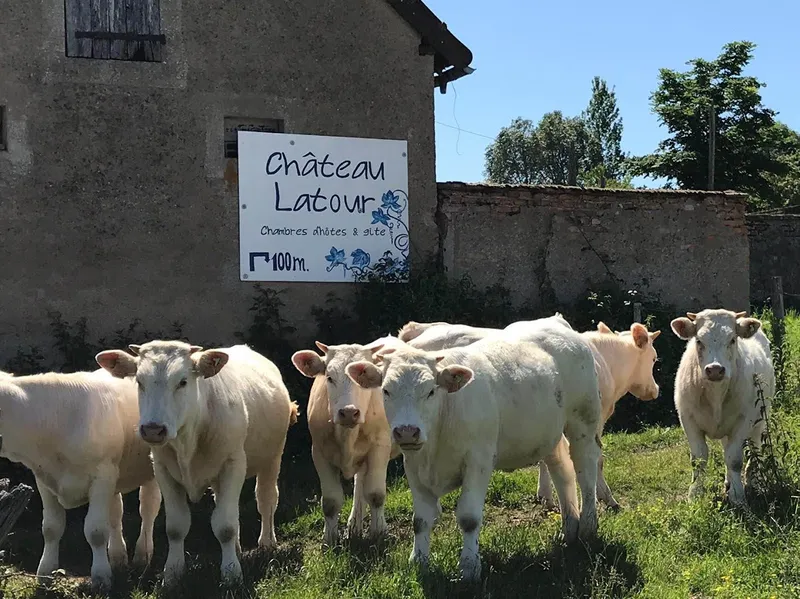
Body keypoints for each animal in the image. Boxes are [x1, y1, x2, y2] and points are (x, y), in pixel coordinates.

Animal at [0, 370, 161, 592]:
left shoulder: (102, 476)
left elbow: (96, 531)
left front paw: (101, 578)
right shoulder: (43, 480)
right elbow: (51, 528)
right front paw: (45, 574)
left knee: (148, 509)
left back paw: (142, 557)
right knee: (115, 513)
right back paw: (118, 559)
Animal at [97, 342, 296, 584]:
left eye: (182, 381)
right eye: (140, 382)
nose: (153, 429)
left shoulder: (233, 464)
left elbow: (225, 526)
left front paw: (231, 572)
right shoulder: (163, 470)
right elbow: (176, 527)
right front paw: (172, 573)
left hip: (273, 456)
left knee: (266, 498)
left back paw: (267, 542)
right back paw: (237, 549)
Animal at [290, 336, 404, 548]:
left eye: (363, 380)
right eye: (329, 377)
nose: (349, 412)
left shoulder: (379, 447)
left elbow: (376, 494)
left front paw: (378, 533)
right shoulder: (319, 452)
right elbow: (330, 502)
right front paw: (330, 539)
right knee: (360, 483)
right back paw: (355, 525)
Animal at [346, 340, 600, 584]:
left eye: (431, 391)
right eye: (386, 391)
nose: (407, 431)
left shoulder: (478, 462)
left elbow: (469, 518)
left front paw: (469, 567)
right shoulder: (414, 466)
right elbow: (420, 520)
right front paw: (419, 561)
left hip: (583, 423)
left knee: (586, 470)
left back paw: (588, 527)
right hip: (548, 434)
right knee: (562, 470)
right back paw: (570, 528)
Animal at [668, 310, 776, 506]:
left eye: (732, 339)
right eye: (699, 340)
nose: (715, 369)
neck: (716, 395)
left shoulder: (743, 420)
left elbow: (734, 459)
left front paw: (737, 496)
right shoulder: (688, 420)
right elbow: (699, 459)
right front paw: (694, 495)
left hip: (761, 417)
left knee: (754, 447)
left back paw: (752, 481)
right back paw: (728, 481)